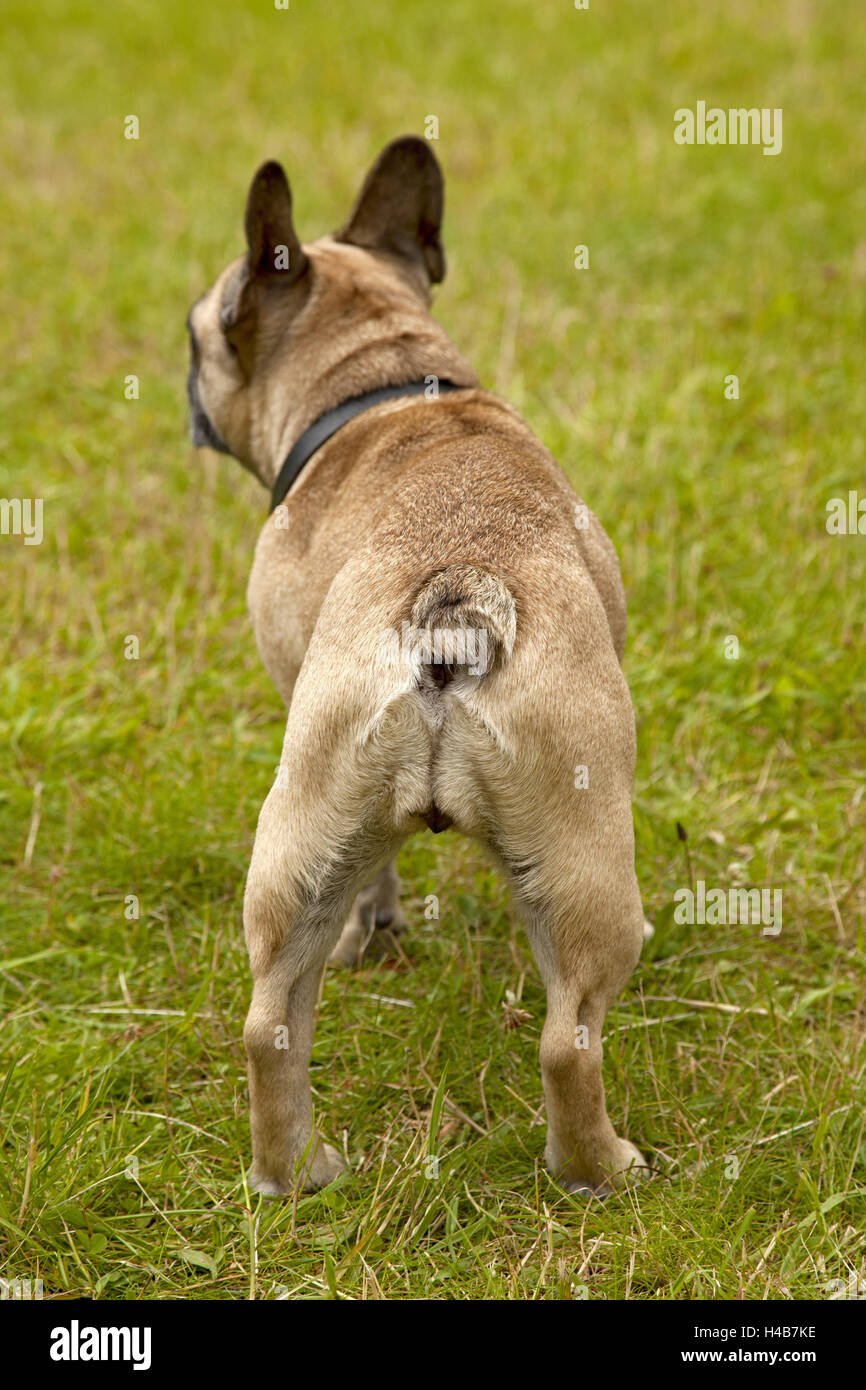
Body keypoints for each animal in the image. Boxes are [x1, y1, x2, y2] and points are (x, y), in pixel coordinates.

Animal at [189, 135, 650, 1195]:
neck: (387, 384)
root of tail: (453, 596)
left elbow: (378, 882)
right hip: (588, 850)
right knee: (571, 1040)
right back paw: (599, 1170)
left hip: (309, 817)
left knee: (271, 1023)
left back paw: (295, 1174)